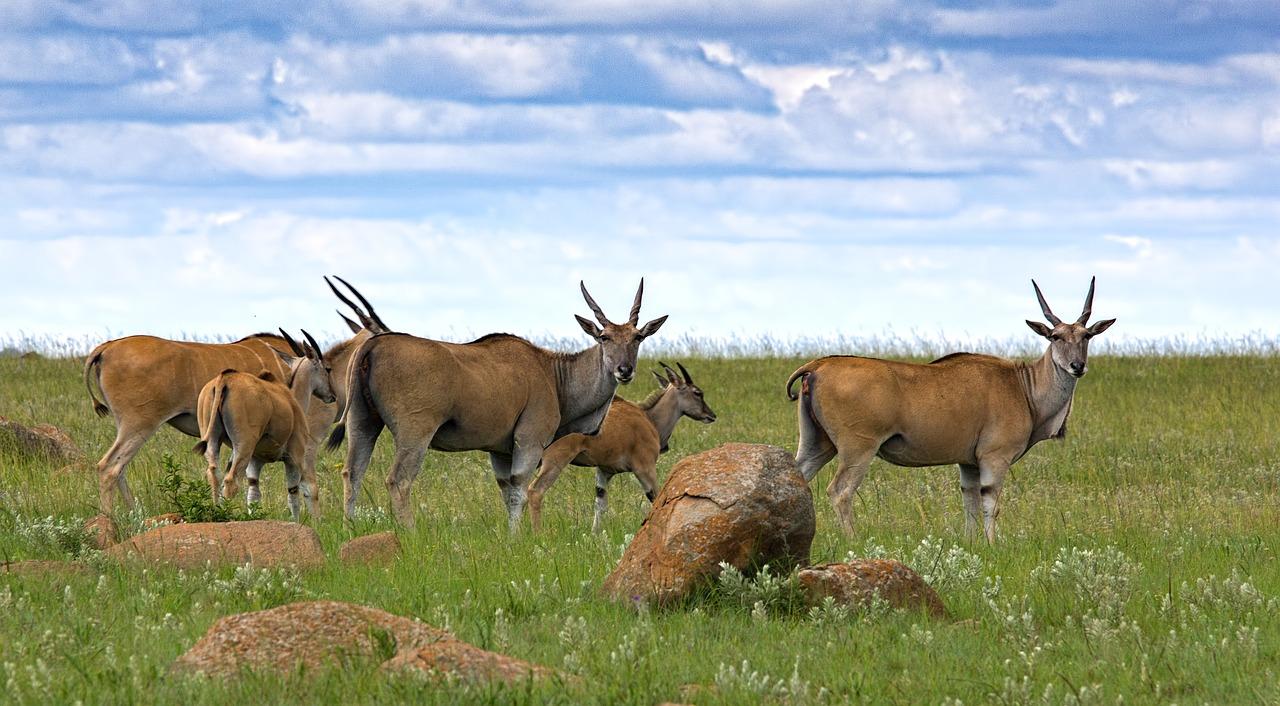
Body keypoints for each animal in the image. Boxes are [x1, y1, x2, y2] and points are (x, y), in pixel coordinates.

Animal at [192, 330, 334, 519]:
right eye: (327, 368)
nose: (332, 395)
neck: (291, 399)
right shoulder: (294, 457)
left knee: (214, 473)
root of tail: (224, 379)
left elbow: (253, 495)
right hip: (244, 445)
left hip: (214, 441)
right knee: (230, 481)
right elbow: (294, 494)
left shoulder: (255, 462)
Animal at [327, 280, 667, 529]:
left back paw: (349, 529)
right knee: (398, 480)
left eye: (637, 338)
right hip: (415, 432)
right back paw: (409, 534)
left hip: (363, 423)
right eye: (604, 337)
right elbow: (520, 489)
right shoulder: (529, 441)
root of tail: (374, 344)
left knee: (352, 473)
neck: (553, 374)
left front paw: (510, 539)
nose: (624, 370)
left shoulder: (500, 451)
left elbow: (507, 491)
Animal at [527, 362, 717, 533]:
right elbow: (656, 500)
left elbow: (600, 505)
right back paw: (538, 534)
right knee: (535, 490)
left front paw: (594, 535)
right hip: (555, 459)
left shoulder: (604, 471)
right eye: (697, 393)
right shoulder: (645, 468)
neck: (649, 419)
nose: (712, 415)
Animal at [786, 278, 1115, 542]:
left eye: (1086, 336)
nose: (1077, 365)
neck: (1023, 387)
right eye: (1055, 337)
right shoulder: (994, 458)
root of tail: (818, 365)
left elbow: (970, 503)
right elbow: (990, 503)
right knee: (840, 492)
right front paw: (993, 545)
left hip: (817, 445)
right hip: (858, 449)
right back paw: (853, 540)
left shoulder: (968, 464)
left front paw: (972, 545)